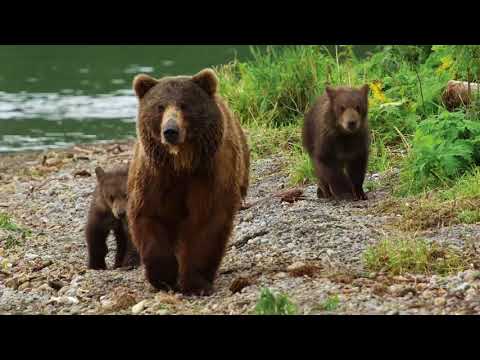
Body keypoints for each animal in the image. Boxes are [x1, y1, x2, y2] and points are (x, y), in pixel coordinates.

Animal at [125, 68, 249, 296]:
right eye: (160, 106)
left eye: (184, 105)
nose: (170, 131)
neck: (181, 163)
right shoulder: (155, 176)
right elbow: (150, 215)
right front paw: (164, 277)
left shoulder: (208, 174)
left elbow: (206, 222)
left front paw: (195, 283)